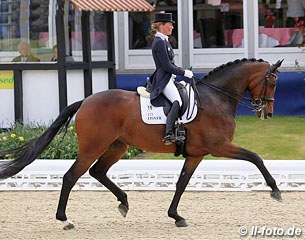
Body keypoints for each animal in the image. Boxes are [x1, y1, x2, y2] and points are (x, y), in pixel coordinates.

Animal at [0, 58, 282, 229]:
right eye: (273, 81)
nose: (267, 113)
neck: (216, 98)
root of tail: (86, 100)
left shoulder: (196, 154)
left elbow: (181, 183)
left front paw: (176, 216)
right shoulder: (219, 147)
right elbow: (255, 157)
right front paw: (275, 190)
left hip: (117, 146)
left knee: (97, 171)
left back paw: (124, 202)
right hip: (93, 146)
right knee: (72, 176)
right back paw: (65, 220)